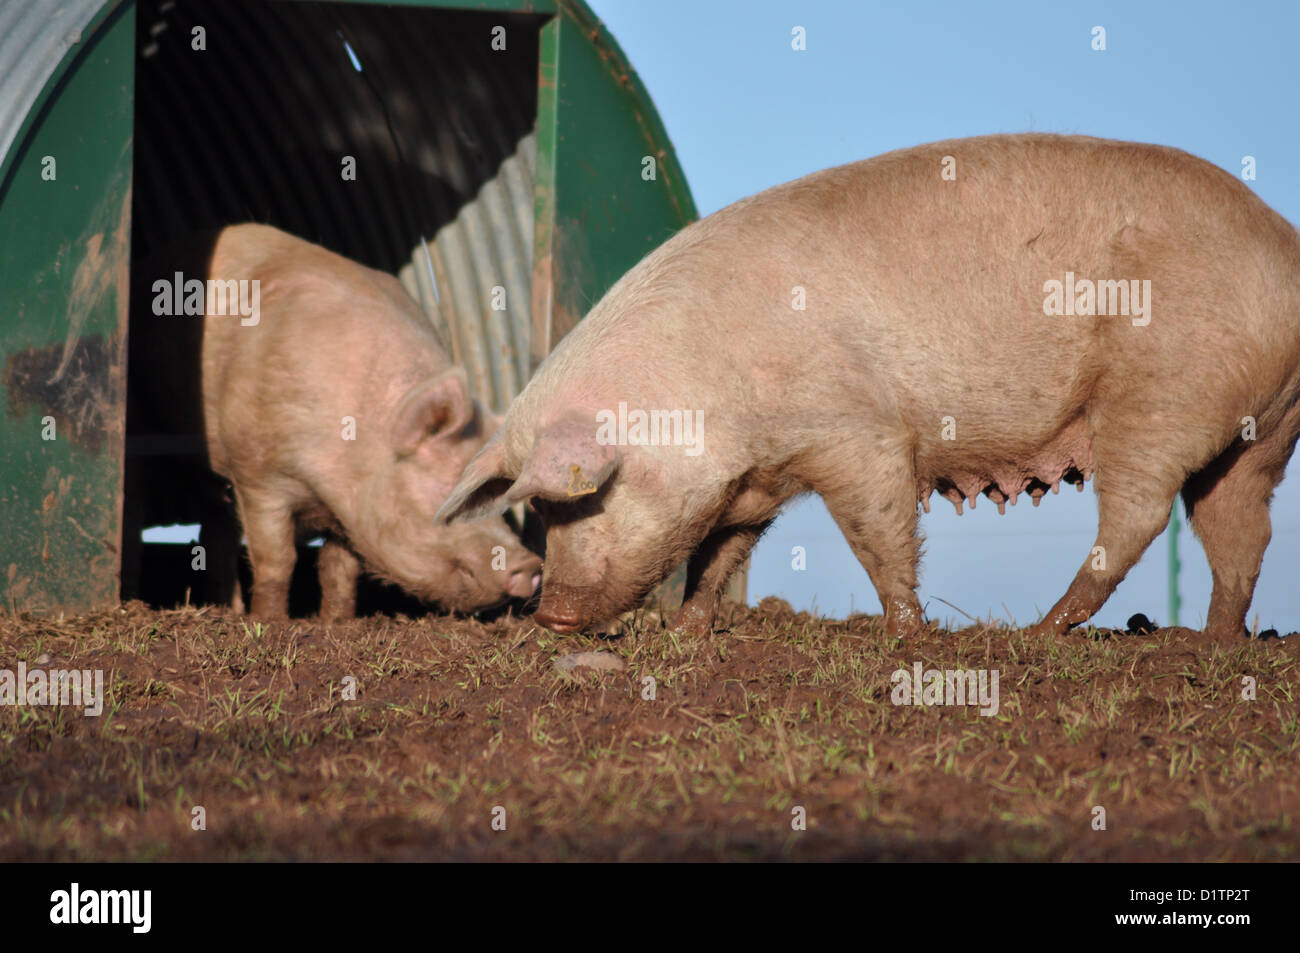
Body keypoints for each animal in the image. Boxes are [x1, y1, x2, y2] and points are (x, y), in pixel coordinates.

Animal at [126, 223, 541, 618]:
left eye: (495, 494)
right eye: (451, 488)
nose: (531, 565)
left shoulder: (347, 511)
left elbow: (339, 569)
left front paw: (336, 622)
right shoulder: (257, 474)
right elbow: (278, 560)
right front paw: (271, 621)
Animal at [436, 134, 1300, 641]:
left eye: (590, 496)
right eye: (543, 512)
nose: (552, 612)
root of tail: (1285, 251)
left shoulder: (861, 433)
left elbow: (878, 531)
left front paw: (909, 635)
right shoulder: (752, 480)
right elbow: (720, 551)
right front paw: (688, 632)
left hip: (1162, 393)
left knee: (1138, 516)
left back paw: (1038, 634)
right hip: (1260, 427)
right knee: (1242, 529)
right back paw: (1217, 643)